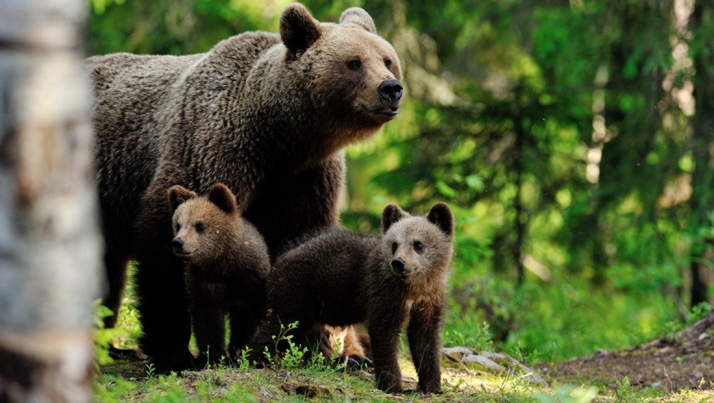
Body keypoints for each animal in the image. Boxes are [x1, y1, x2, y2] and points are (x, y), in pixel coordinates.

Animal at [167, 183, 270, 366]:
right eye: (178, 224)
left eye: (199, 225)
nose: (178, 242)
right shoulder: (202, 284)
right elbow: (208, 323)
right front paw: (215, 357)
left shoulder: (250, 281)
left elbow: (253, 316)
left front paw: (241, 353)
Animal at [251, 202, 454, 394]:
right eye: (394, 244)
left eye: (418, 244)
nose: (398, 263)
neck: (414, 288)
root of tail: (279, 261)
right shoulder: (383, 290)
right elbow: (385, 333)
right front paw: (394, 386)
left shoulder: (430, 299)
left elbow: (424, 338)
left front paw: (432, 386)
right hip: (297, 291)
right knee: (278, 326)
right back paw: (253, 359)